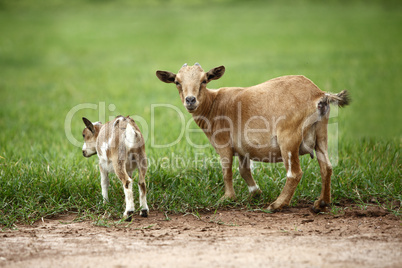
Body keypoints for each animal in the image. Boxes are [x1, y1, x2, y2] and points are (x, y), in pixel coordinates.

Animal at [155, 62, 350, 211]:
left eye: (204, 80)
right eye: (177, 82)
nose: (190, 100)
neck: (214, 105)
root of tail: (319, 95)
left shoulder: (223, 144)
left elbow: (226, 171)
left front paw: (228, 198)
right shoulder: (243, 149)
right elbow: (244, 170)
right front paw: (255, 193)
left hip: (288, 137)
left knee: (294, 173)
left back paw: (277, 205)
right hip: (321, 134)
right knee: (327, 167)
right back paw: (321, 203)